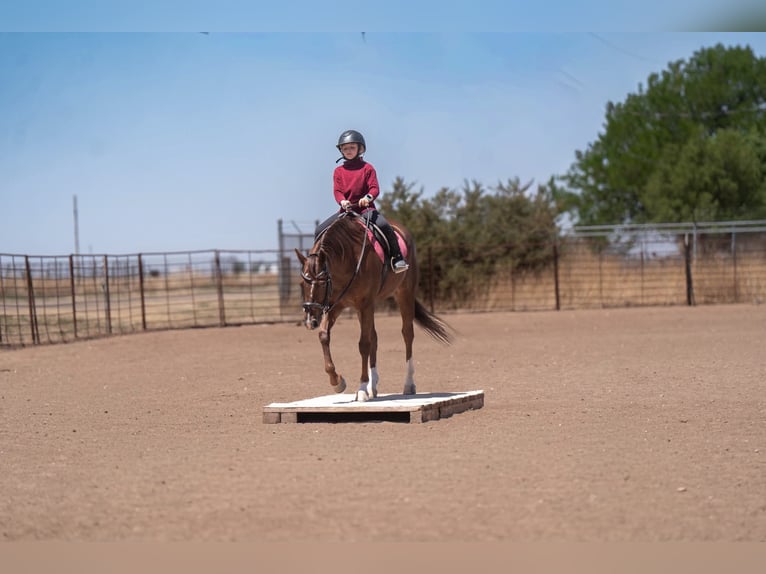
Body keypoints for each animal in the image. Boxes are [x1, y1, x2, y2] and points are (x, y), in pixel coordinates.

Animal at [295, 210, 452, 402]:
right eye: (302, 284)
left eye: (322, 283)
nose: (310, 321)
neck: (348, 258)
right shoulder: (336, 305)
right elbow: (324, 336)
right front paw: (337, 381)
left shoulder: (364, 304)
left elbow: (364, 344)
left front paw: (361, 389)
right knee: (374, 337)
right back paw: (373, 386)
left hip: (403, 294)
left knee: (407, 334)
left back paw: (408, 384)